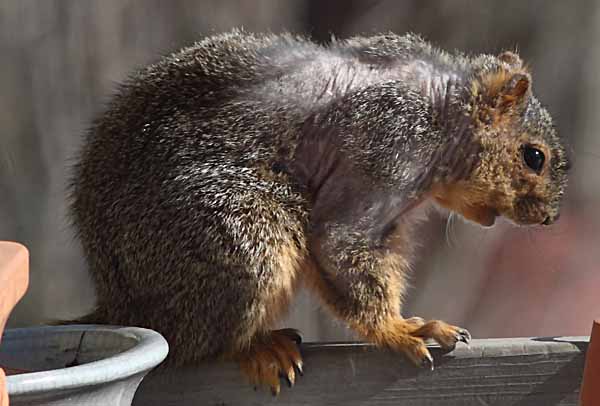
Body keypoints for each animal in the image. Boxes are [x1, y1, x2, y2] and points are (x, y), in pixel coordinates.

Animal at [69, 30, 568, 394]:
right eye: (534, 157)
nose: (549, 218)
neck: (442, 109)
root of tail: (122, 302)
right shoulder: (386, 144)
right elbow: (340, 243)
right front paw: (403, 330)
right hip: (237, 234)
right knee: (195, 341)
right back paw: (258, 349)